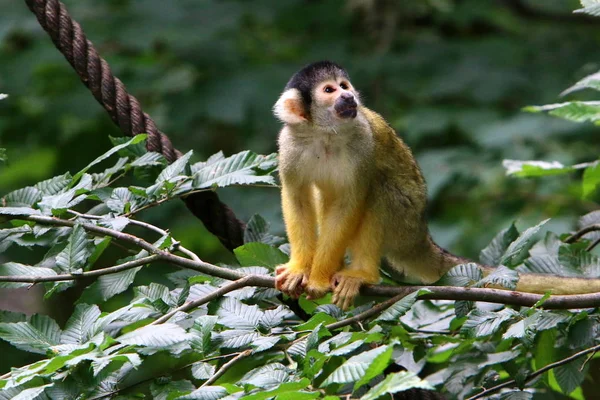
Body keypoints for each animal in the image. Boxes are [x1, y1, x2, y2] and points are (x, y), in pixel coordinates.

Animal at [274, 61, 600, 310]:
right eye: (329, 90)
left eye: (344, 85)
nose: (349, 96)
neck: (325, 135)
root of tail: (422, 233)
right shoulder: (289, 143)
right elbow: (296, 197)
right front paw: (300, 269)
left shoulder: (361, 141)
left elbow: (349, 202)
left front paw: (318, 278)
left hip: (405, 224)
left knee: (379, 189)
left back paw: (363, 273)